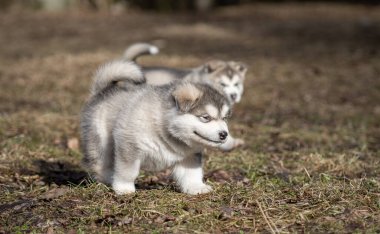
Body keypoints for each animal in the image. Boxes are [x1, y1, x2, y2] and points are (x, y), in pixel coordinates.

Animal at [81, 59, 232, 195]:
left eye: (224, 118)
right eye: (206, 117)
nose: (224, 134)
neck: (166, 129)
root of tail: (103, 91)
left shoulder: (189, 155)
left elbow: (192, 173)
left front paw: (196, 187)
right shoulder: (129, 145)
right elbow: (128, 171)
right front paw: (124, 188)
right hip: (101, 141)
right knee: (100, 163)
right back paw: (107, 179)